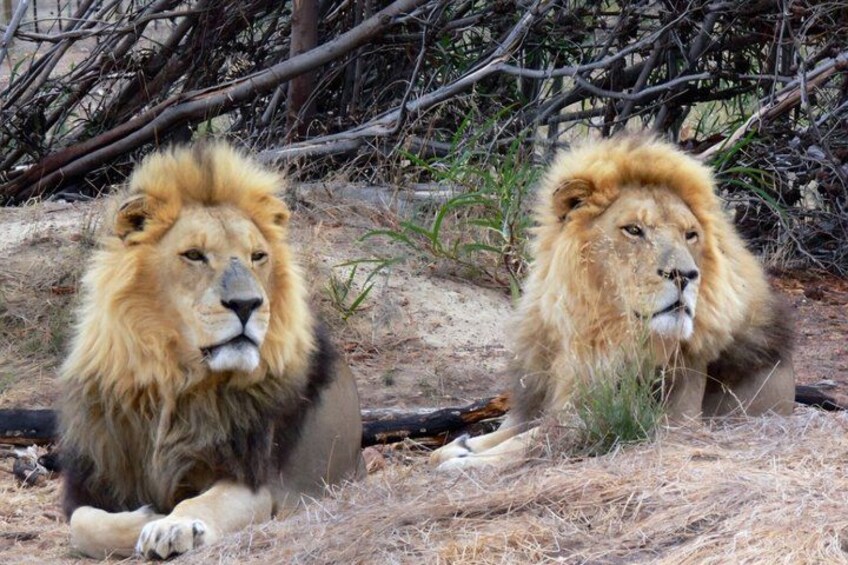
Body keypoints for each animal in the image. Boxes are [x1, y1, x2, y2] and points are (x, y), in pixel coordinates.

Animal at [58, 143, 365, 559]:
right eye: (194, 255)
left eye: (257, 256)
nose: (246, 304)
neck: (174, 377)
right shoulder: (92, 481)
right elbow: (83, 524)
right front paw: (150, 515)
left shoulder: (256, 480)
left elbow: (203, 502)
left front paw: (172, 524)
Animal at [431, 136, 795, 469]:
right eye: (633, 230)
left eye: (690, 235)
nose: (685, 275)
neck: (595, 332)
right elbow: (521, 428)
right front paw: (461, 446)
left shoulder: (669, 420)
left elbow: (537, 438)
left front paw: (467, 460)